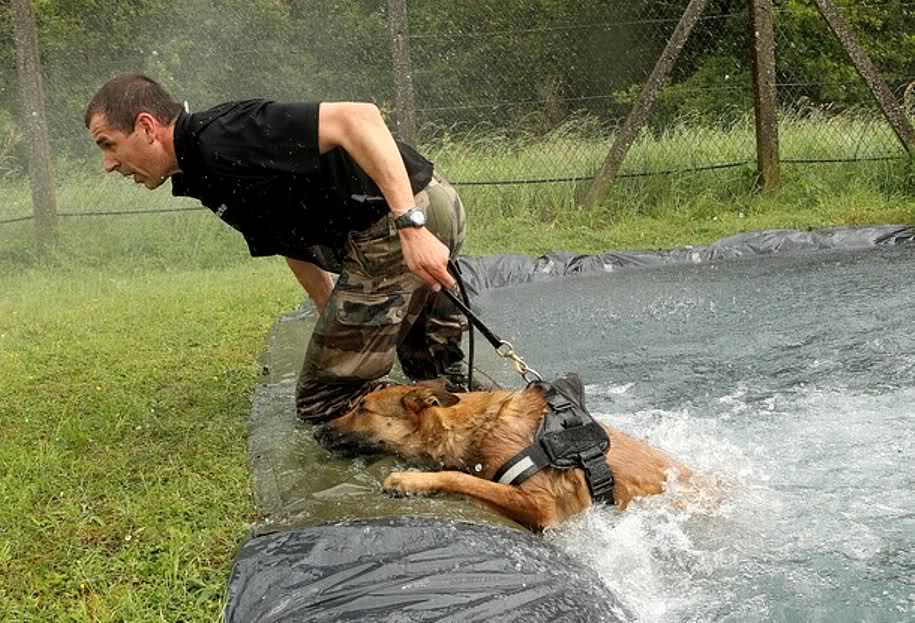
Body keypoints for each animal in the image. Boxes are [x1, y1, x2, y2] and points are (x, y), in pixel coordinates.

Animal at [316, 380, 696, 532]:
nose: (317, 431)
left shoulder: (541, 505)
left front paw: (409, 481)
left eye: (362, 409)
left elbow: (461, 477)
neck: (475, 426)